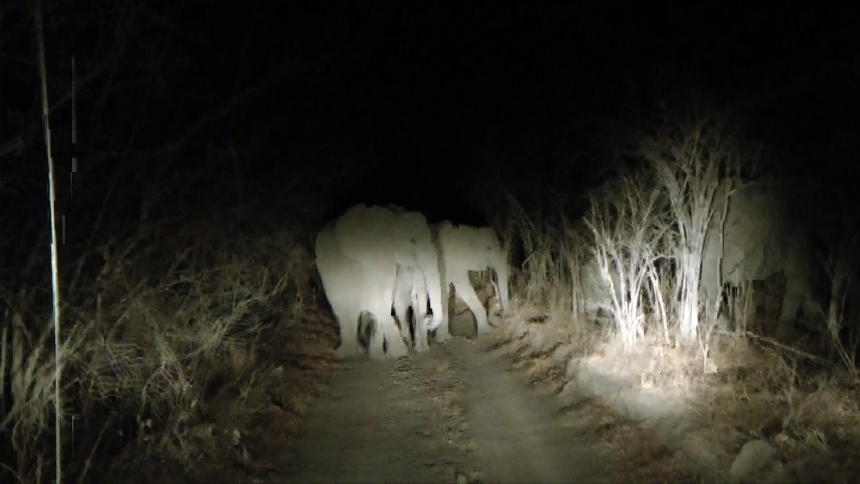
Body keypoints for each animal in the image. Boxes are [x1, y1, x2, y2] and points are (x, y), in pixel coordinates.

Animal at [314, 204, 444, 359]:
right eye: (413, 240)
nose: (428, 318)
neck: (393, 217)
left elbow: (386, 297)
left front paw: (380, 355)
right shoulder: (373, 256)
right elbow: (374, 299)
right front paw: (398, 352)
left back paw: (356, 351)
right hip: (325, 270)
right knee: (340, 304)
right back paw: (346, 353)